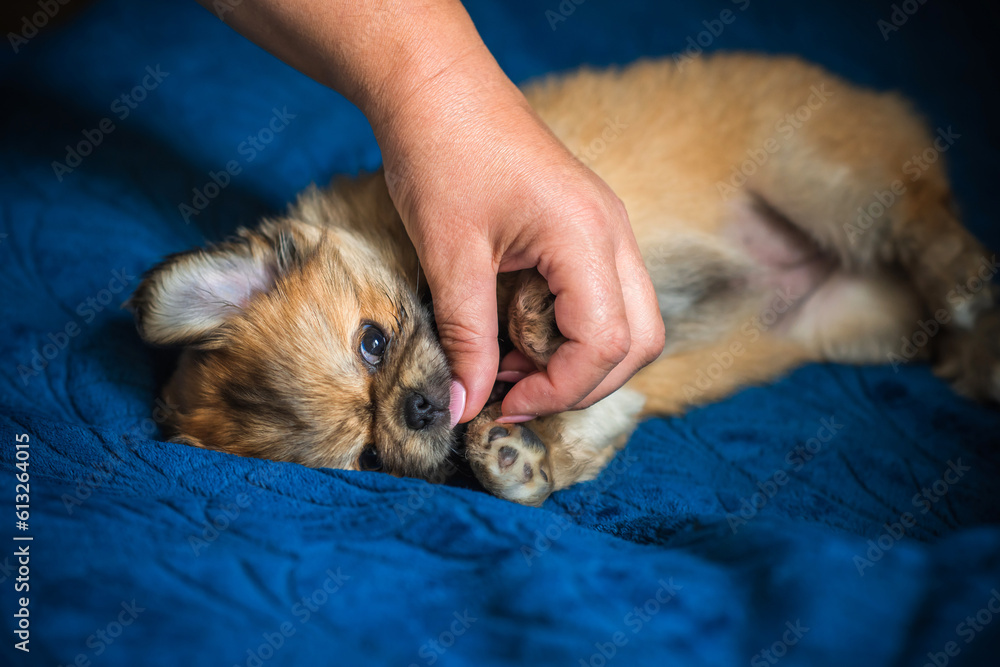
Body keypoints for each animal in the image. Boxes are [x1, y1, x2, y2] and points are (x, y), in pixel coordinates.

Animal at [127, 54, 1000, 506]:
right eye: (369, 458)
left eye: (373, 343)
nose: (416, 410)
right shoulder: (612, 388)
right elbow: (583, 429)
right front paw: (513, 459)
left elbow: (521, 297)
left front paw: (538, 317)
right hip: (863, 318)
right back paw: (975, 347)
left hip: (820, 180)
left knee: (925, 221)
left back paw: (965, 291)